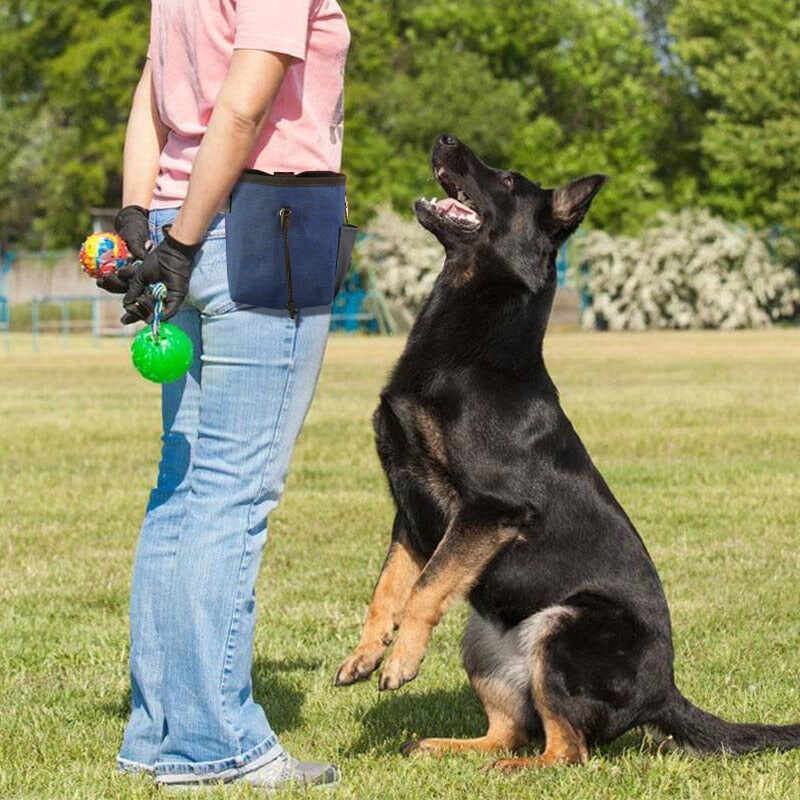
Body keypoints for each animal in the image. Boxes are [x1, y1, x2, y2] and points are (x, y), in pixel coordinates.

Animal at [332, 138, 800, 768]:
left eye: (508, 179)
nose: (445, 140)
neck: (473, 353)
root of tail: (665, 692)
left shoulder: (488, 510)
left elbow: (425, 588)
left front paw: (402, 659)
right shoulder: (412, 513)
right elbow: (389, 589)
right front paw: (366, 651)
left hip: (562, 627)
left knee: (566, 752)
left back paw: (512, 771)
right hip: (486, 637)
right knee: (512, 729)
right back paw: (444, 747)